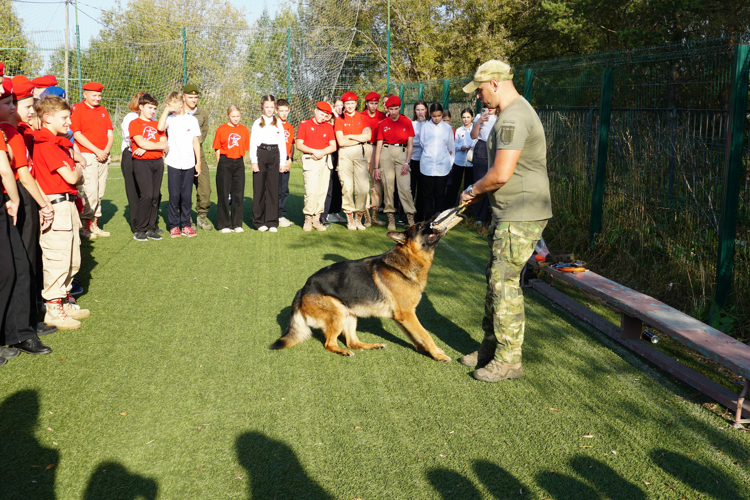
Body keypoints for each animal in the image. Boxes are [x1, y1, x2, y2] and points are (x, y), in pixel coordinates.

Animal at [272, 221, 452, 362]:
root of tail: (303, 288)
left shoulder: (401, 317)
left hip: (350, 315)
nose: (434, 221)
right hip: (338, 313)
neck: (407, 259)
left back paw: (373, 345)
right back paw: (343, 351)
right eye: (421, 226)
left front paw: (428, 351)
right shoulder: (407, 314)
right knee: (330, 344)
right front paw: (437, 355)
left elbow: (415, 336)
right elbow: (425, 334)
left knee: (353, 342)